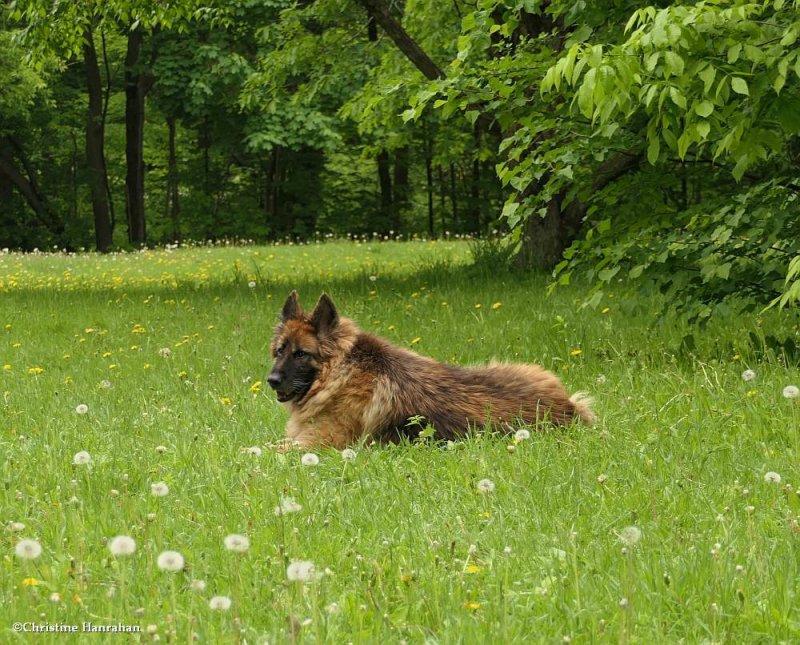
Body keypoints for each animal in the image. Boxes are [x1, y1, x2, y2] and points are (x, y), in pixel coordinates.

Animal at [268, 292, 592, 448]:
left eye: (301, 354)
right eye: (280, 350)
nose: (271, 380)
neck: (340, 372)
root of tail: (569, 407)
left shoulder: (315, 444)